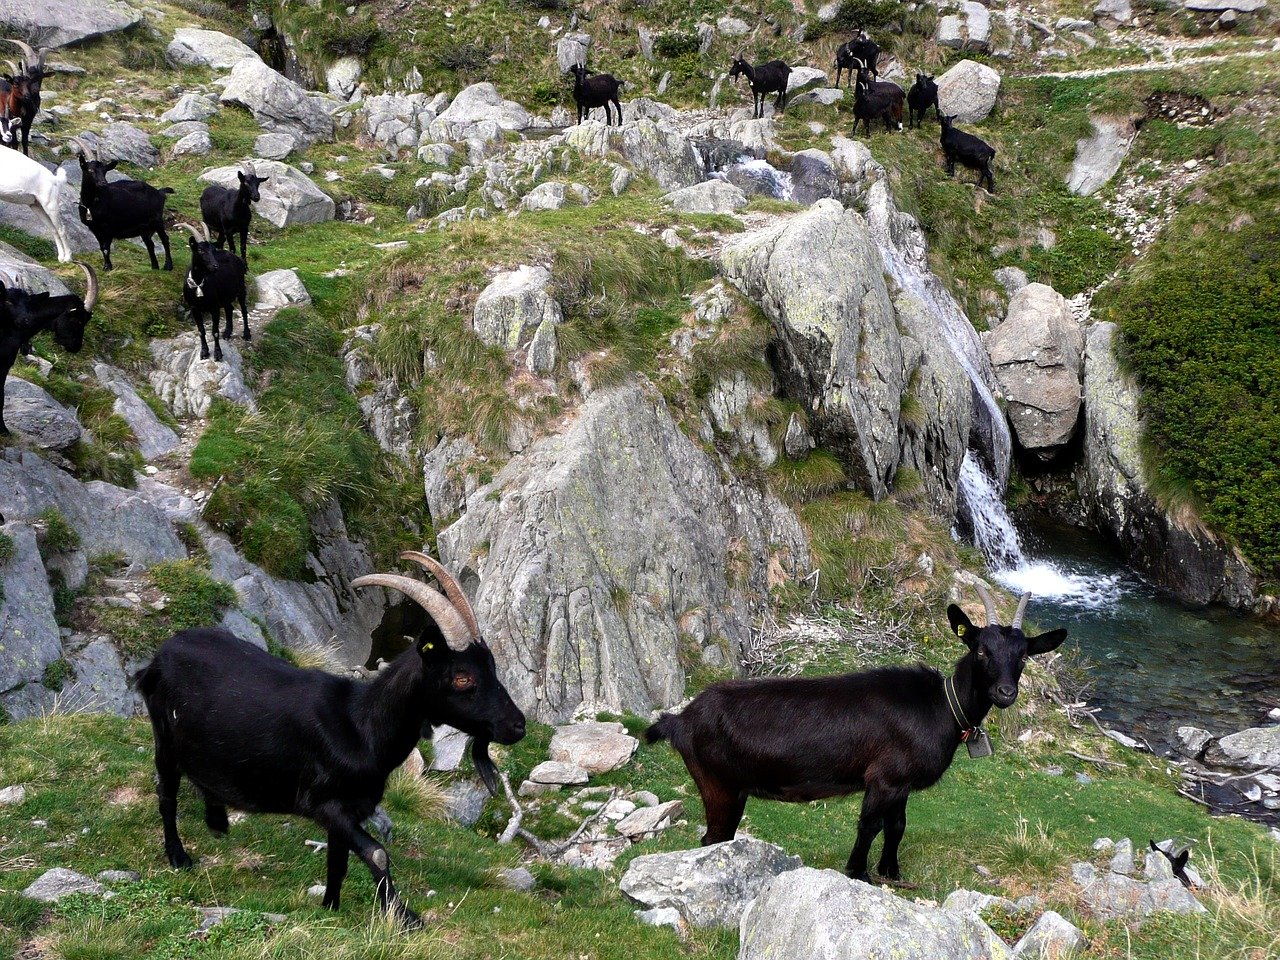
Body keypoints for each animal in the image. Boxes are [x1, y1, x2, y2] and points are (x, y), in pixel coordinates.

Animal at [71, 137, 175, 272]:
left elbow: (106, 248)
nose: (103, 183)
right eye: (90, 170)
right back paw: (154, 267)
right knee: (150, 244)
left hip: (157, 219)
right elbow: (101, 247)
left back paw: (168, 266)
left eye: (104, 171)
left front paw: (108, 267)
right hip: (144, 227)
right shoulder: (94, 228)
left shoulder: (108, 227)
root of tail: (160, 192)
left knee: (165, 239)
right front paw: (106, 266)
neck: (92, 203)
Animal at [135, 552, 526, 928]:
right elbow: (377, 853)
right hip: (164, 737)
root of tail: (159, 657)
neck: (361, 726)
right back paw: (178, 856)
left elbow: (338, 863)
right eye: (462, 678)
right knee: (166, 793)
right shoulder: (323, 804)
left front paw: (330, 907)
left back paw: (217, 822)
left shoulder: (348, 811)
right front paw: (404, 917)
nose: (517, 725)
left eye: (491, 666)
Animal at [178, 222, 249, 362]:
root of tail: (235, 256)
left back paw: (247, 334)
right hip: (225, 295)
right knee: (229, 308)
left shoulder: (214, 307)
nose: (216, 266)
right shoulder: (194, 308)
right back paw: (227, 332)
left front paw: (217, 354)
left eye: (213, 250)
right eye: (200, 250)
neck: (198, 283)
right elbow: (201, 331)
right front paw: (204, 352)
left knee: (244, 310)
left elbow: (214, 331)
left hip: (240, 288)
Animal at [647, 584, 1066, 883]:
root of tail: (680, 721)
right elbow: (870, 825)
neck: (942, 707)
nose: (1005, 693)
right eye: (980, 650)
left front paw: (892, 873)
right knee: (712, 838)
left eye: (1023, 655)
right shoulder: (883, 777)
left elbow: (897, 827)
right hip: (718, 784)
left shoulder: (901, 783)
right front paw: (858, 872)